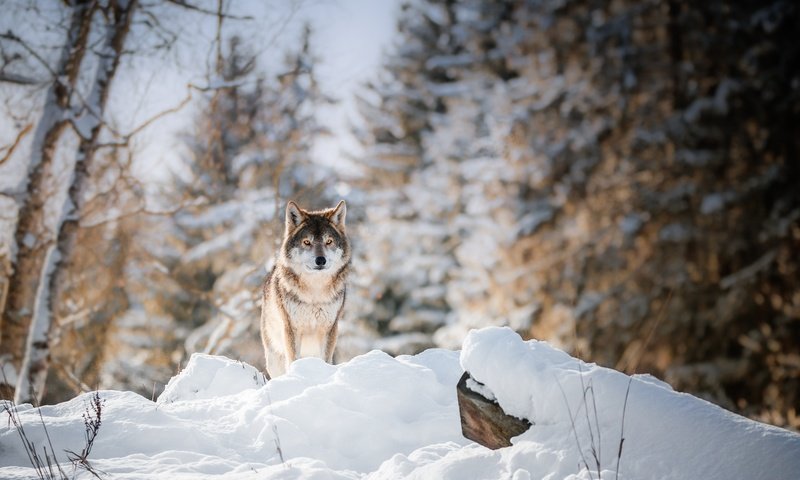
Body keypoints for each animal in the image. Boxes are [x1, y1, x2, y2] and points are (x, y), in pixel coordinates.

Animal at [262, 200, 350, 378]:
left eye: (328, 241)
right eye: (307, 242)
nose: (320, 260)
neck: (315, 292)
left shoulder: (329, 329)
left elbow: (326, 360)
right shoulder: (292, 329)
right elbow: (293, 359)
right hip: (274, 358)